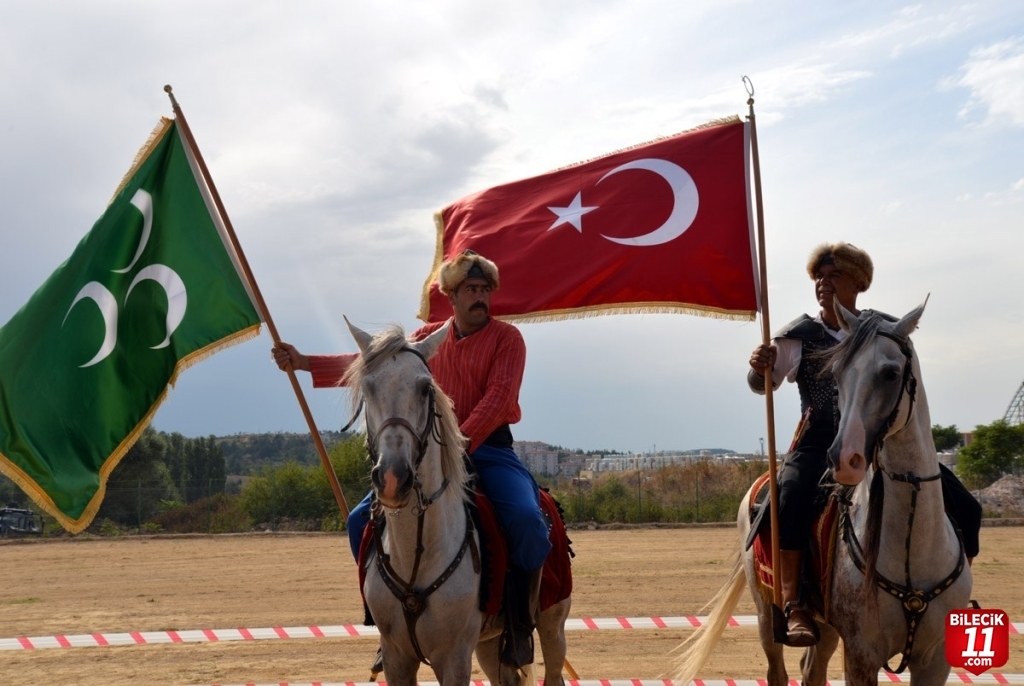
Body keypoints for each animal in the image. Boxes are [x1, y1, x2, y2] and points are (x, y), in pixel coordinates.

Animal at [342, 323, 569, 686]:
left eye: (425, 388)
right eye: (368, 386)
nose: (393, 477)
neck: (418, 554)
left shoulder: (453, 658)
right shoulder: (397, 657)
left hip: (552, 624)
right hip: (489, 645)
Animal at [675, 303, 970, 686]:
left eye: (891, 374)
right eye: (837, 374)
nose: (844, 458)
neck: (912, 549)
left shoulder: (933, 660)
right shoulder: (861, 655)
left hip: (827, 627)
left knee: (811, 670)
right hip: (767, 614)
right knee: (778, 670)